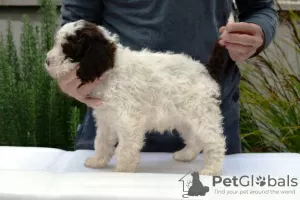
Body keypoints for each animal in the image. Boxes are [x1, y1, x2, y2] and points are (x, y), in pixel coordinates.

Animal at [44, 18, 234, 175]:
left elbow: (125, 148)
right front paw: (98, 161)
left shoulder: (128, 121)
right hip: (185, 118)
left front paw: (123, 170)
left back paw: (211, 169)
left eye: (68, 48)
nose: (46, 61)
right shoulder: (106, 119)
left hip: (201, 115)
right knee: (195, 140)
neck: (111, 70)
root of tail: (206, 70)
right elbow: (101, 142)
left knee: (215, 142)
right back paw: (185, 155)